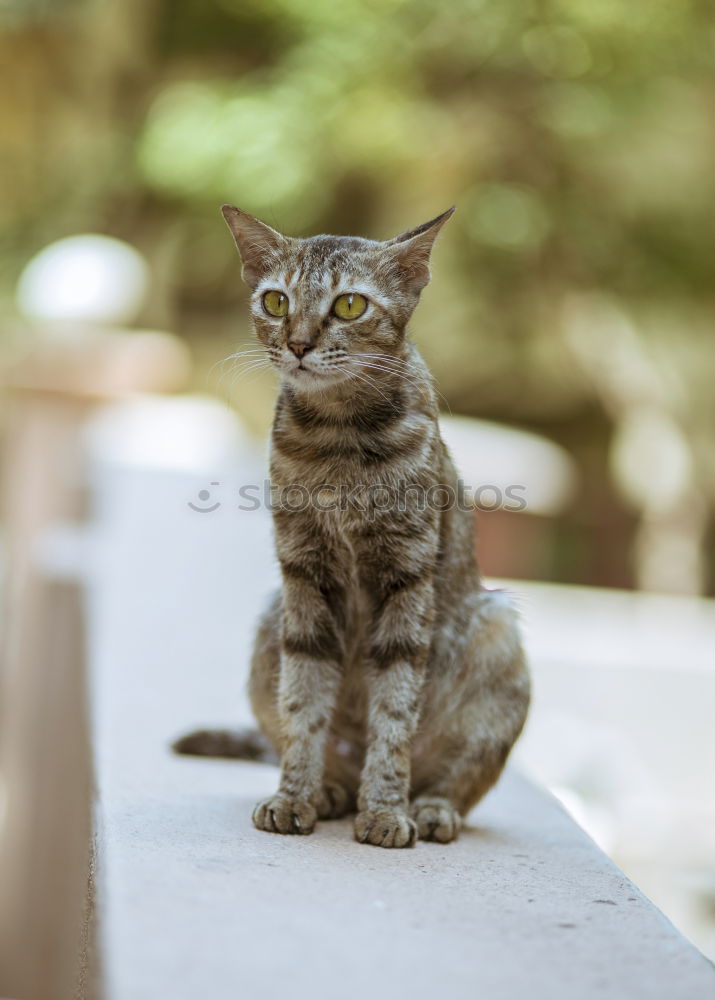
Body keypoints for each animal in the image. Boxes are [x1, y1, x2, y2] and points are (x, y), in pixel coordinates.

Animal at [176, 207, 528, 848]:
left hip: (498, 631)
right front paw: (296, 795)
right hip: (269, 623)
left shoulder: (406, 576)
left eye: (348, 305)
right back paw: (332, 791)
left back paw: (430, 808)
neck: (338, 439)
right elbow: (303, 705)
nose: (297, 343)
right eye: (275, 301)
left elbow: (394, 713)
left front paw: (386, 809)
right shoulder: (304, 575)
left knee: (459, 780)